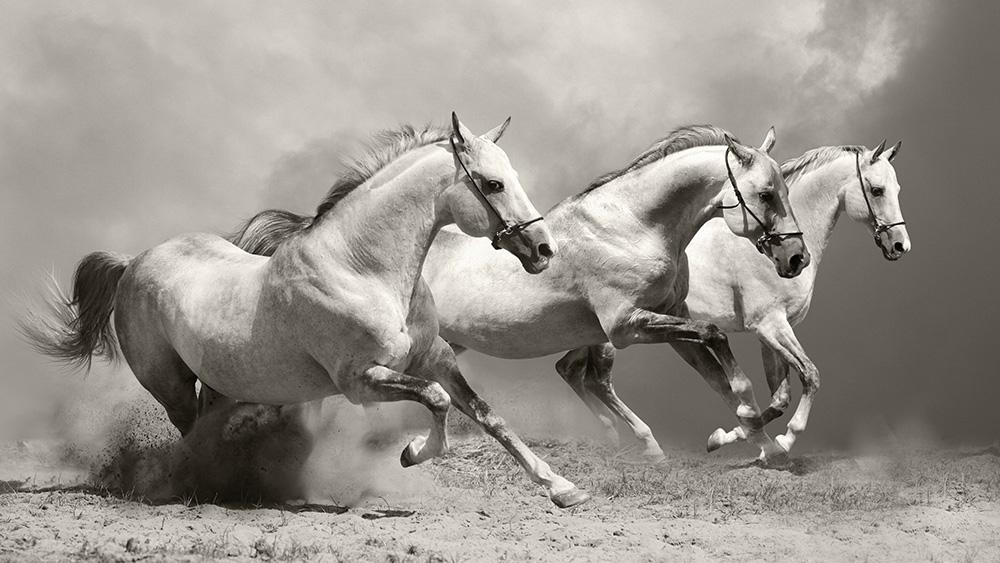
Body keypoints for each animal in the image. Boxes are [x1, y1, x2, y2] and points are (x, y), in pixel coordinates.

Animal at [21, 114, 593, 508]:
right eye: (493, 183)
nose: (544, 249)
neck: (363, 269)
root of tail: (133, 261)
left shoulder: (436, 359)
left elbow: (488, 415)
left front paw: (563, 488)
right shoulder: (361, 380)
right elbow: (436, 401)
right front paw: (412, 453)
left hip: (222, 383)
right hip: (170, 384)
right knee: (189, 433)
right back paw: (207, 485)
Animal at [229, 125, 810, 462]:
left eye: (783, 189)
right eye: (766, 193)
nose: (796, 258)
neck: (634, 225)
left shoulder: (665, 319)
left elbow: (723, 371)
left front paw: (751, 437)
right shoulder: (627, 326)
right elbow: (718, 343)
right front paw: (750, 429)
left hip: (445, 345)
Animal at [558, 140, 910, 459]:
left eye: (897, 188)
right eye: (877, 190)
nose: (900, 245)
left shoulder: (771, 332)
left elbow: (779, 398)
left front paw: (730, 437)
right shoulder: (771, 326)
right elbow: (810, 376)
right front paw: (781, 441)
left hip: (590, 335)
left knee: (569, 370)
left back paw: (612, 435)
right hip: (612, 335)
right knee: (598, 381)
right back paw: (645, 442)